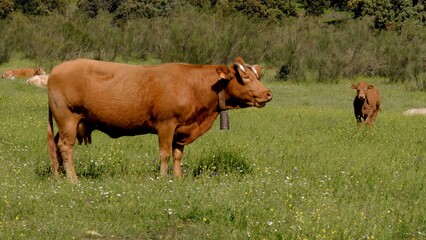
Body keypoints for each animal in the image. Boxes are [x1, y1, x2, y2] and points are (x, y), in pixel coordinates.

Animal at [47, 56, 272, 184]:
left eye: (257, 76)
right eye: (245, 77)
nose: (268, 93)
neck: (194, 86)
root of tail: (56, 69)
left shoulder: (182, 129)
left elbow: (178, 154)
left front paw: (178, 178)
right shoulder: (166, 124)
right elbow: (165, 153)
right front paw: (163, 178)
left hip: (67, 123)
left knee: (54, 145)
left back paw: (59, 176)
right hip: (68, 118)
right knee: (65, 147)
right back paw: (73, 179)